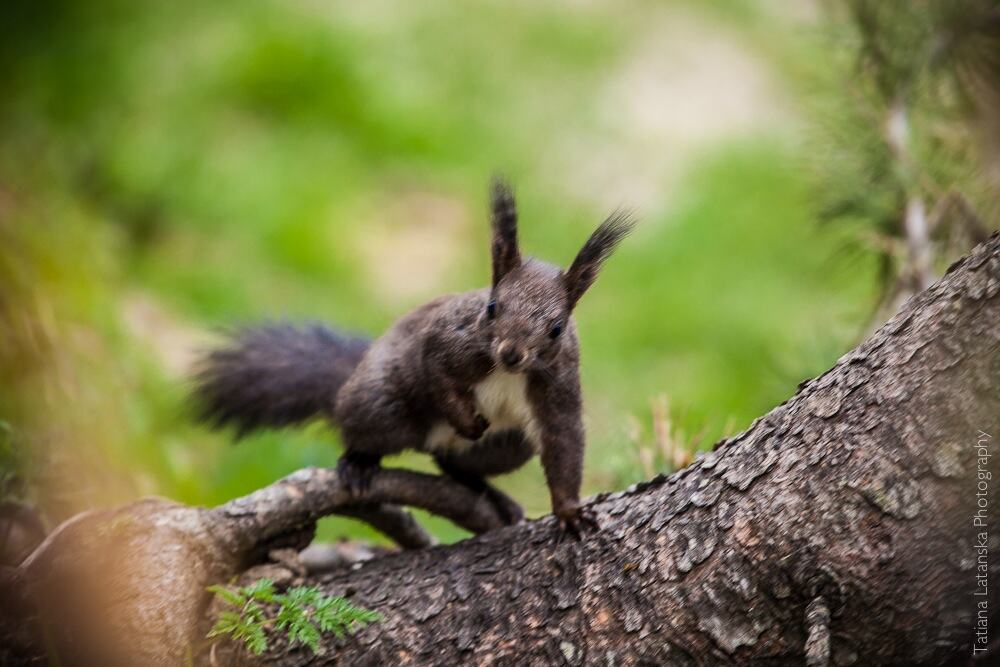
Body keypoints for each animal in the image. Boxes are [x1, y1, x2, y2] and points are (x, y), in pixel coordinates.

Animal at [192, 178, 633, 535]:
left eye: (556, 328)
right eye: (492, 307)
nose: (510, 354)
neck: (508, 373)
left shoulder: (557, 383)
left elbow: (564, 442)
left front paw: (570, 512)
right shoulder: (446, 342)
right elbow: (437, 374)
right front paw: (467, 419)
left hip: (508, 446)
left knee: (451, 464)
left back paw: (489, 491)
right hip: (379, 403)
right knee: (363, 427)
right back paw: (360, 461)